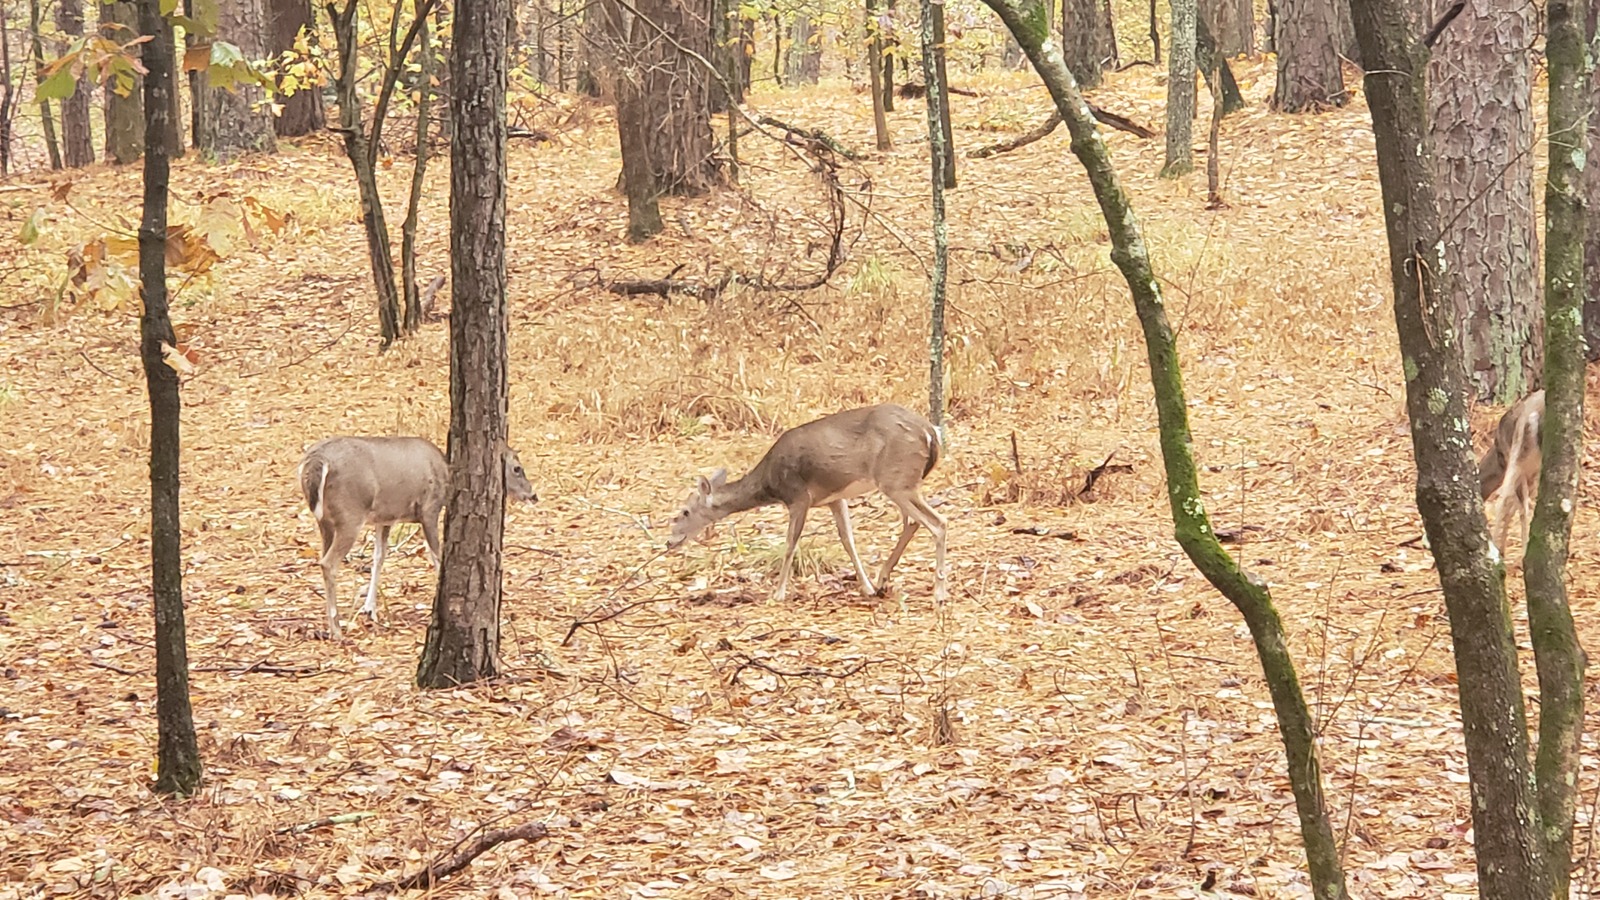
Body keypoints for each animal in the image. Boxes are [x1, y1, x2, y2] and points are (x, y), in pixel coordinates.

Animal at [298, 436, 537, 638]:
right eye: (517, 468)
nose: (533, 495)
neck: (448, 475)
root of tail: (315, 462)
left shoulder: (385, 518)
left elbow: (379, 558)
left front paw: (370, 609)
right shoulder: (429, 510)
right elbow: (437, 557)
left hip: (325, 521)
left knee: (325, 557)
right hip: (350, 514)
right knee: (328, 563)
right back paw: (336, 629)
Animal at [665, 403, 948, 607]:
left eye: (685, 511)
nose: (669, 542)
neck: (769, 484)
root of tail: (930, 432)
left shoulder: (799, 497)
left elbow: (790, 544)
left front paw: (777, 594)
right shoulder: (835, 498)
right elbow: (848, 540)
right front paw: (866, 587)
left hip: (896, 479)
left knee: (937, 522)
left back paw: (939, 593)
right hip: (903, 482)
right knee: (914, 522)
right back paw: (882, 580)